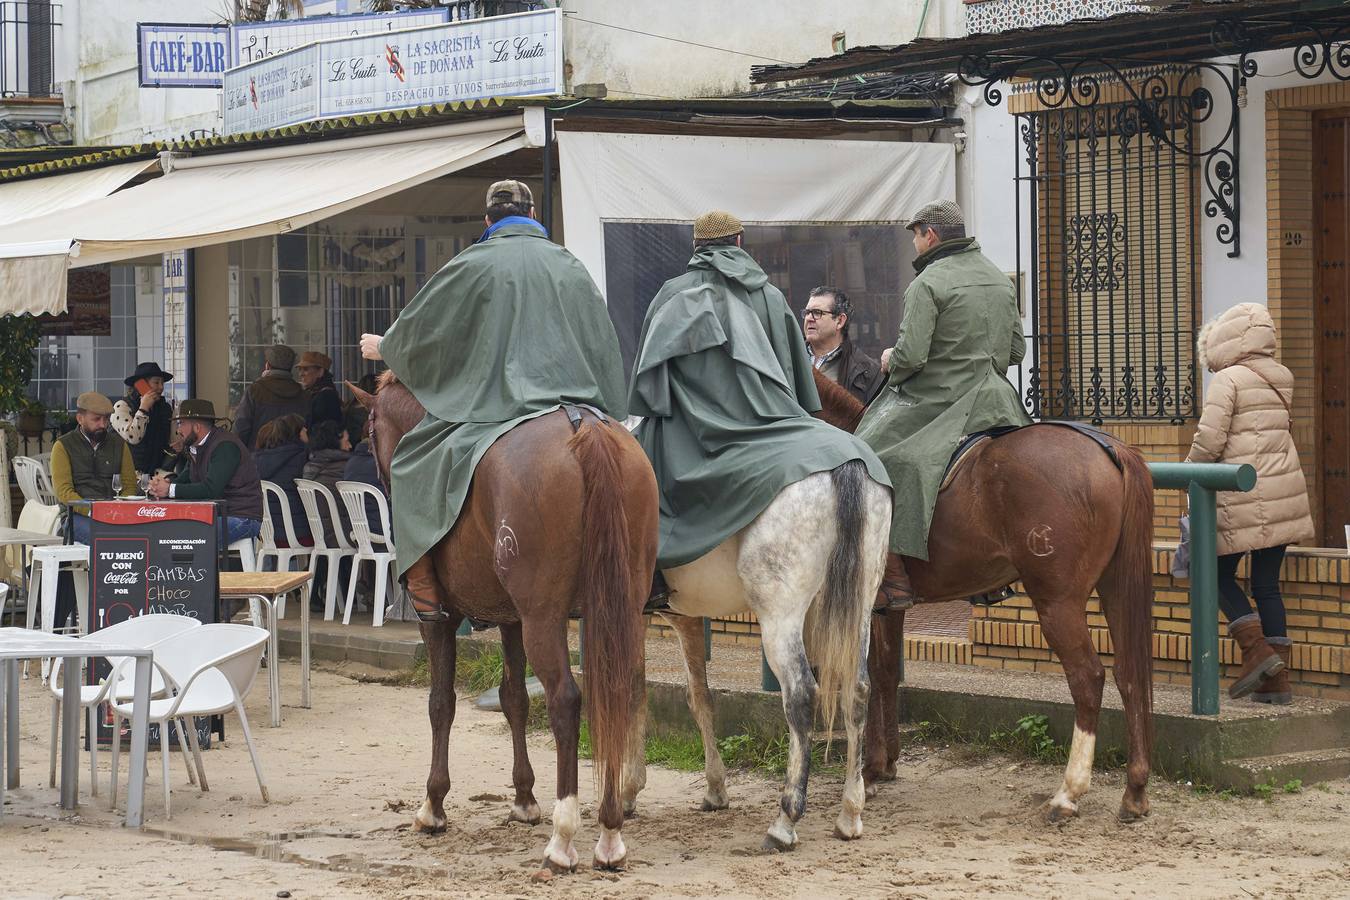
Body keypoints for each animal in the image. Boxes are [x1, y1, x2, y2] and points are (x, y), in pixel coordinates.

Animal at [353, 375, 658, 874]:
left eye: (368, 430)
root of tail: (585, 428)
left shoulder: (439, 622)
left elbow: (441, 703)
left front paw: (433, 806)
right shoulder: (511, 621)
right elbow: (513, 698)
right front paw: (524, 798)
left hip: (544, 619)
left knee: (566, 701)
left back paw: (563, 837)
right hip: (617, 610)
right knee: (617, 693)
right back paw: (610, 832)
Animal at [804, 367, 1155, 825]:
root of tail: (1110, 448)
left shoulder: (866, 603)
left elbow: (870, 675)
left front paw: (869, 768)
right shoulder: (887, 609)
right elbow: (885, 672)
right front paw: (884, 764)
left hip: (1057, 602)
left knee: (1088, 678)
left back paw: (1068, 792)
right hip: (1113, 590)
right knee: (1129, 675)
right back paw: (1135, 791)